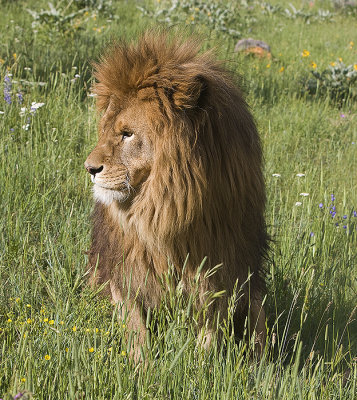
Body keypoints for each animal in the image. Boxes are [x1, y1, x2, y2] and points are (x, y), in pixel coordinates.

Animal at [84, 32, 268, 356]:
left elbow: (210, 336)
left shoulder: (221, 275)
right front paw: (143, 365)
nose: (89, 168)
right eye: (105, 130)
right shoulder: (123, 274)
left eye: (127, 133)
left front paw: (198, 365)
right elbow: (136, 330)